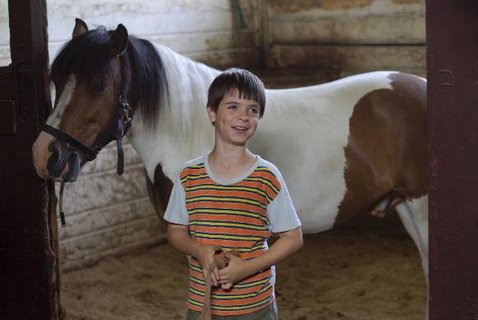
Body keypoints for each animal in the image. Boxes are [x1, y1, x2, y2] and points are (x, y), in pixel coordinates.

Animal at [31, 17, 428, 288]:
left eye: (98, 85)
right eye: (57, 80)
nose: (44, 155)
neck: (188, 129)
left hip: (421, 206)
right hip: (406, 205)